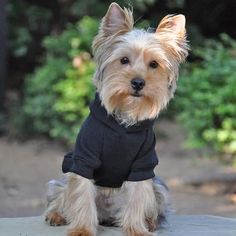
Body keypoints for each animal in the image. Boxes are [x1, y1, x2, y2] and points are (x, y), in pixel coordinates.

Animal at [43, 2, 188, 236]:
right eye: (124, 60)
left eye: (154, 64)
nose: (138, 82)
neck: (123, 120)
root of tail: (107, 215)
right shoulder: (84, 158)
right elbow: (81, 194)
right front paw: (82, 229)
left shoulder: (143, 164)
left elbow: (138, 195)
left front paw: (136, 229)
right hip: (63, 179)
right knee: (61, 193)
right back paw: (56, 215)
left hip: (159, 187)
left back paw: (149, 222)